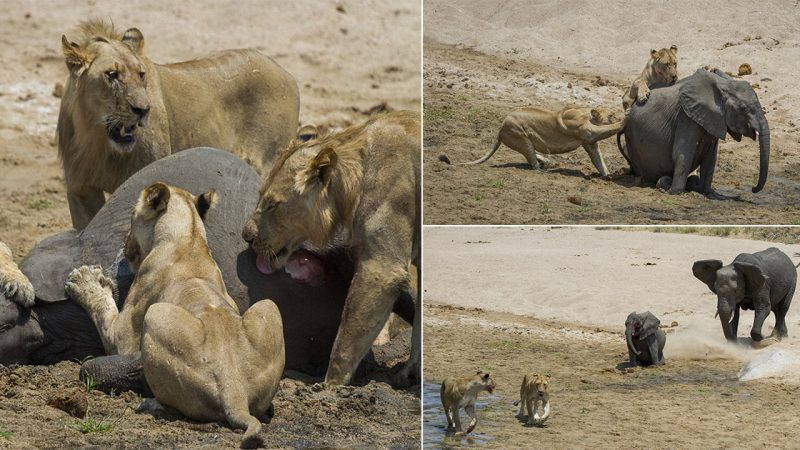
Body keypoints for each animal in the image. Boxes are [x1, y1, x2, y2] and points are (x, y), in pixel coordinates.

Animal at [57, 18, 300, 229]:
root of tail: (285, 72)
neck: (96, 139)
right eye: (112, 74)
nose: (144, 110)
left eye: (141, 74)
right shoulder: (80, 190)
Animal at [242, 110, 418, 384]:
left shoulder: (383, 267)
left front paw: (330, 386)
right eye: (259, 195)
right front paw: (410, 373)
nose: (246, 236)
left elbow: (347, 335)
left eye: (273, 204)